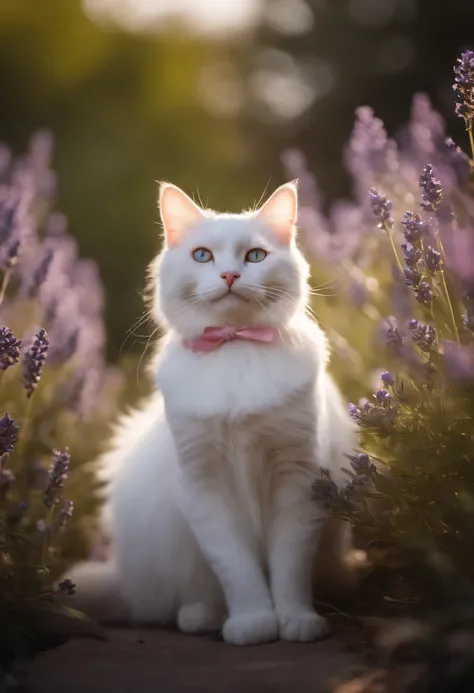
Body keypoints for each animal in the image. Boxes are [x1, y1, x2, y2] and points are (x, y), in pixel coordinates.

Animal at [70, 181, 356, 648]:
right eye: (203, 256)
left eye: (254, 256)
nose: (229, 276)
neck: (234, 344)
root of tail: (128, 583)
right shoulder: (204, 484)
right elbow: (235, 568)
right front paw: (254, 623)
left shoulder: (298, 477)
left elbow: (290, 567)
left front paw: (296, 620)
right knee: (184, 600)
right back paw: (202, 617)